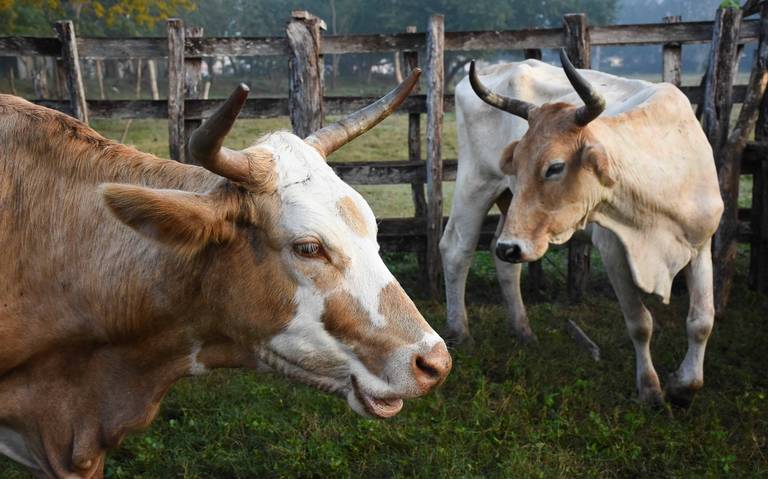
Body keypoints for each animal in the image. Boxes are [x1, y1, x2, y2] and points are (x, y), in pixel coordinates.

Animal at [444, 50, 720, 406]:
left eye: (555, 167)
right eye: (517, 163)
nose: (512, 246)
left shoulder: (701, 244)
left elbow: (701, 320)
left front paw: (685, 385)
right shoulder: (614, 250)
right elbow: (639, 322)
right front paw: (650, 389)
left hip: (511, 210)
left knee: (502, 259)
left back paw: (523, 331)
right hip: (476, 183)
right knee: (457, 249)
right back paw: (460, 333)